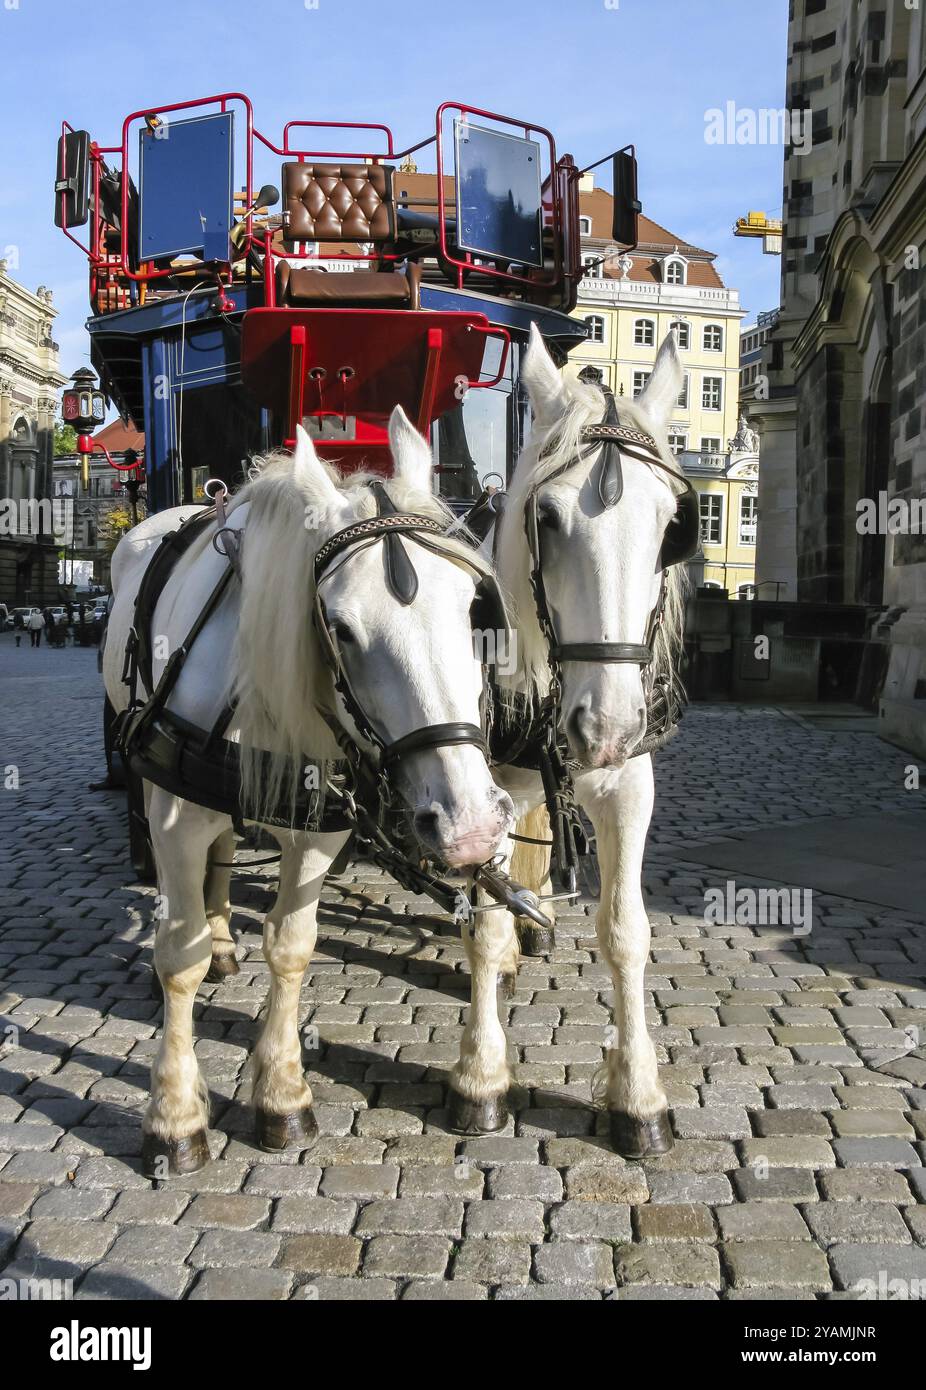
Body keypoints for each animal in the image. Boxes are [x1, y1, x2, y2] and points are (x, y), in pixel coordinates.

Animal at [106, 405, 520, 1178]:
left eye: (471, 610)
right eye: (342, 628)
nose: (473, 827)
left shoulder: (318, 822)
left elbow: (292, 944)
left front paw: (282, 1093)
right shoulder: (174, 814)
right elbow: (179, 958)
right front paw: (174, 1118)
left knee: (225, 858)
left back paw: (223, 931)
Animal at [444, 319, 689, 1156]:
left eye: (671, 527)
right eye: (545, 519)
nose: (604, 727)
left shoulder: (629, 784)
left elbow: (626, 931)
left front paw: (639, 1094)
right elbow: (483, 930)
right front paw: (482, 1076)